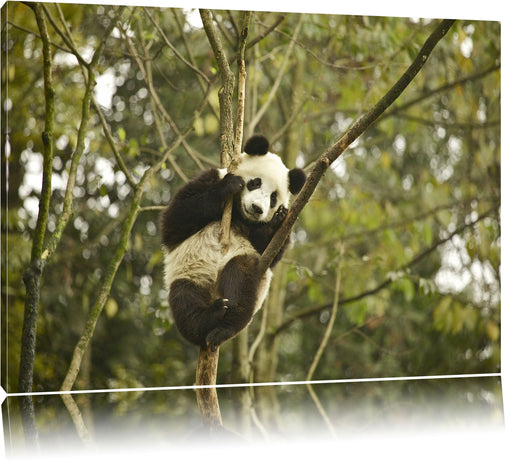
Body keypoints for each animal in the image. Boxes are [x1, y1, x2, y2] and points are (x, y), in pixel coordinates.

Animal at [161, 135, 304, 352]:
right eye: (255, 182)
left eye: (273, 198)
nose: (257, 208)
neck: (239, 214)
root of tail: (215, 291)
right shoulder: (210, 178)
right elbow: (175, 219)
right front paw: (230, 185)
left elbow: (270, 252)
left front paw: (277, 220)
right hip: (190, 273)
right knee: (184, 300)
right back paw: (209, 317)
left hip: (246, 270)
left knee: (241, 280)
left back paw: (224, 326)